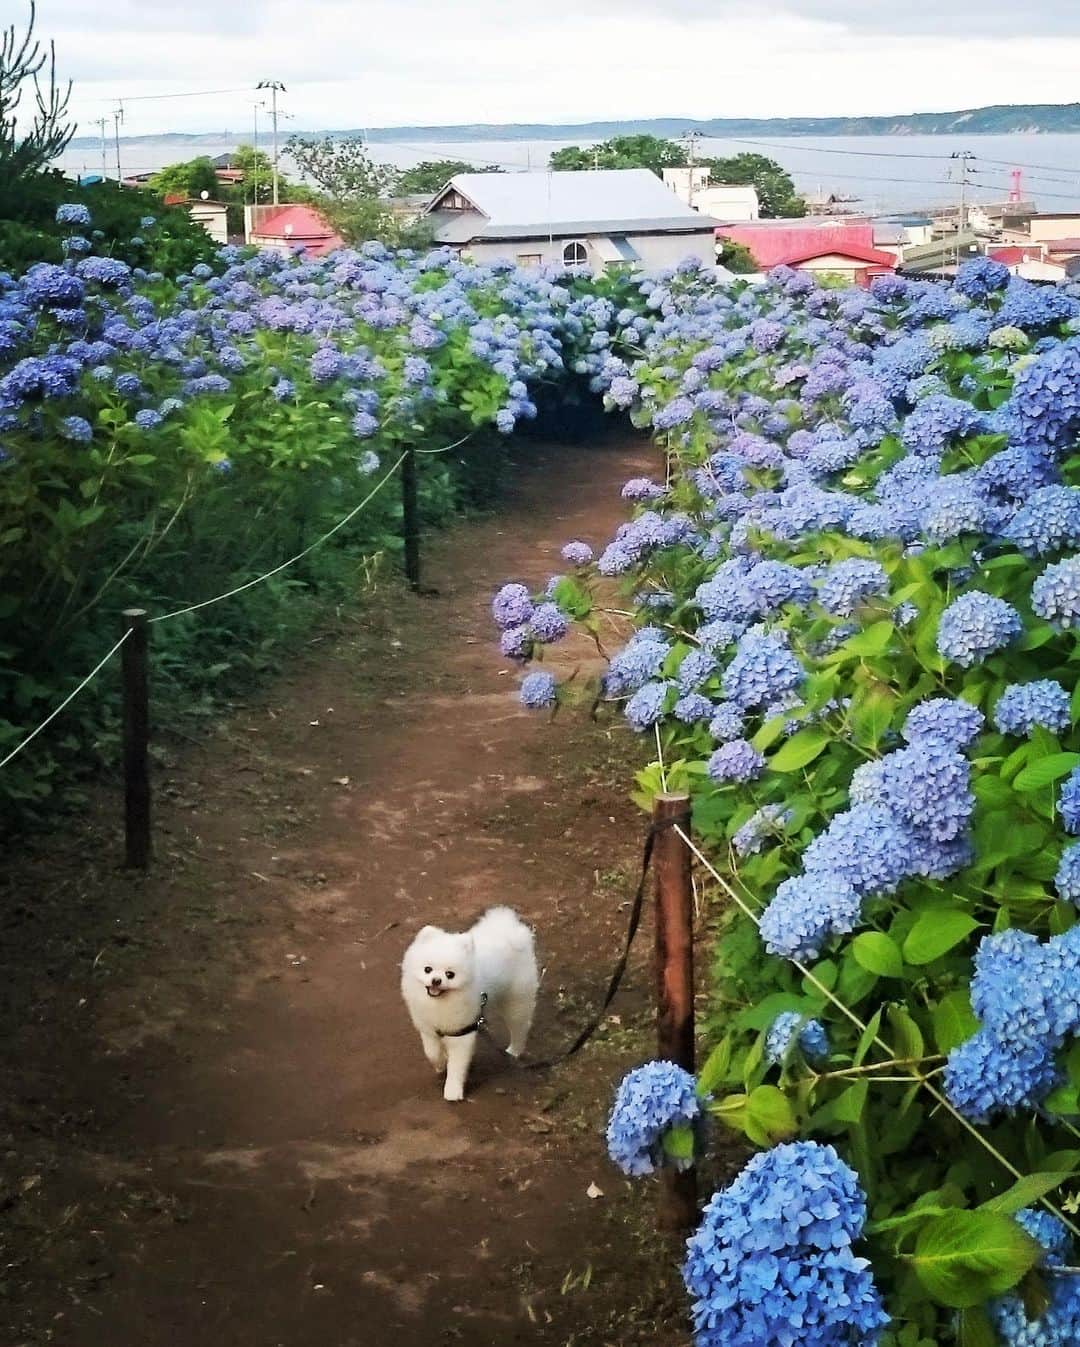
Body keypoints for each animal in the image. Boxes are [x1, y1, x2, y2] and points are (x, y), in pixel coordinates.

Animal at [398, 905, 538, 1104]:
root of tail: (511, 928)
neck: (440, 1003)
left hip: (516, 1000)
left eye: (450, 974)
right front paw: (441, 1063)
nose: (436, 980)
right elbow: (431, 1053)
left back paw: (514, 1051)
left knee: (520, 1027)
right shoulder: (428, 1030)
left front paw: (452, 1091)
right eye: (428, 969)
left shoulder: (462, 1033)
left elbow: (457, 1066)